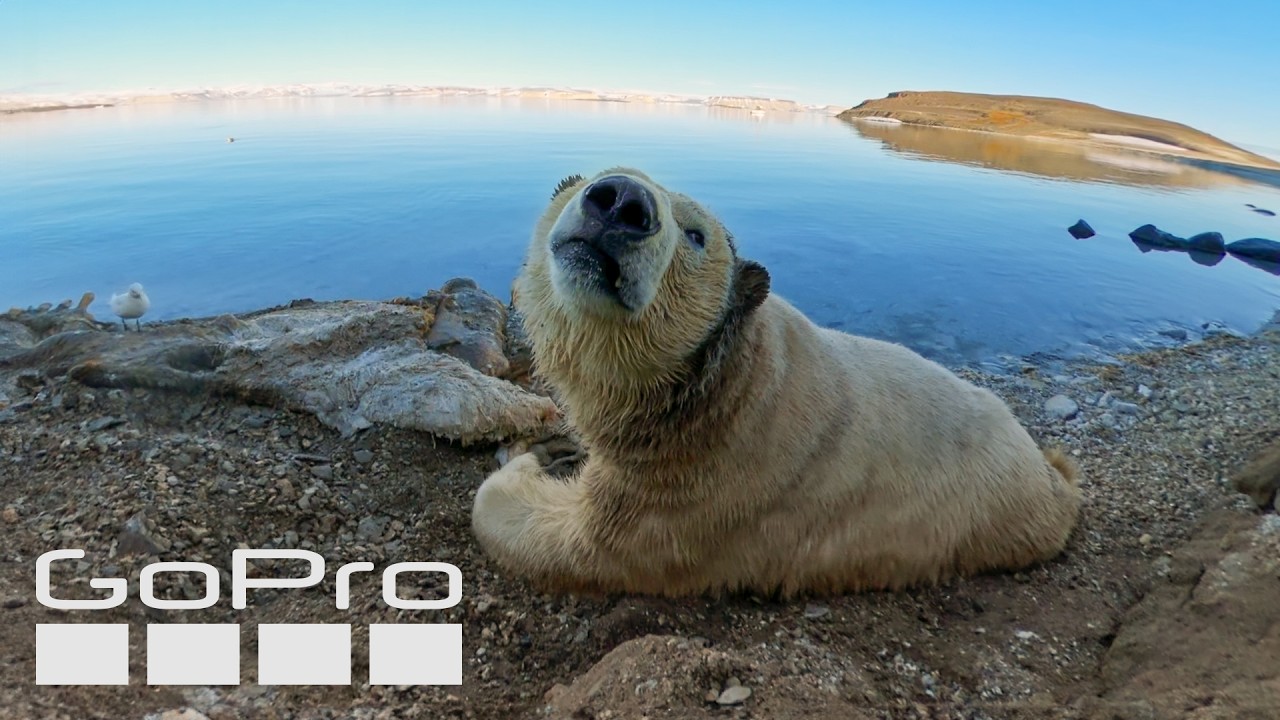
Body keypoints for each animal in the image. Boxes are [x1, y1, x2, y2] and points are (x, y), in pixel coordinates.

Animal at [472, 167, 1082, 597]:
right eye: (599, 174)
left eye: (696, 234)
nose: (622, 200)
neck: (723, 388)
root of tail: (1051, 478)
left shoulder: (690, 499)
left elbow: (563, 539)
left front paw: (531, 457)